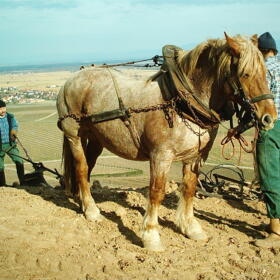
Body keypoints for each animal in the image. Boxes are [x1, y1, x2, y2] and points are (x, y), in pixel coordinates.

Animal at [56, 33, 276, 252]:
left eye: (266, 73)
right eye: (245, 74)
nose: (269, 117)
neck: (180, 101)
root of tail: (71, 79)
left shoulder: (196, 157)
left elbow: (189, 188)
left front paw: (189, 227)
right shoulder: (161, 156)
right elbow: (156, 192)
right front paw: (151, 235)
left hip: (96, 138)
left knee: (89, 167)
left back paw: (82, 200)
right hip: (74, 134)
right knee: (82, 167)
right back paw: (91, 211)